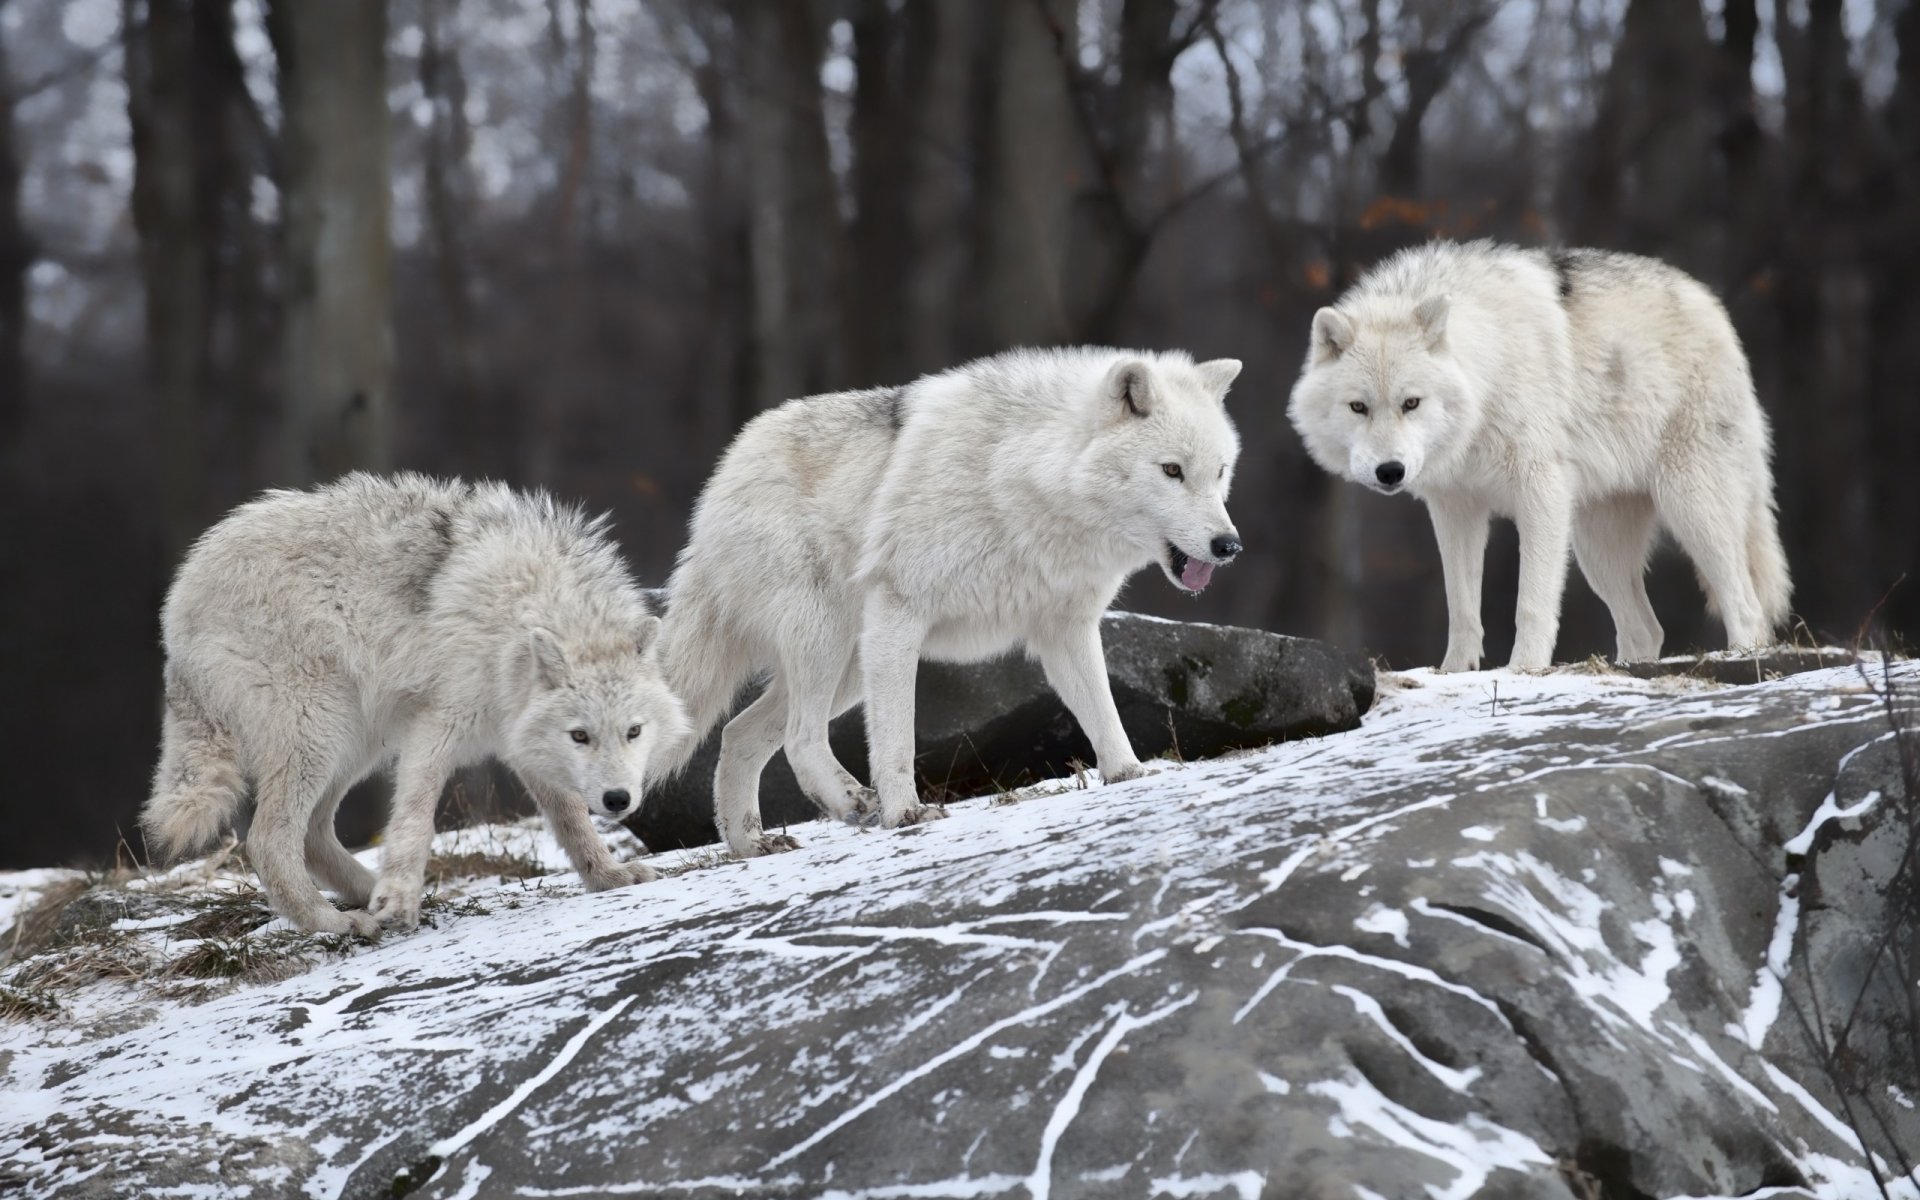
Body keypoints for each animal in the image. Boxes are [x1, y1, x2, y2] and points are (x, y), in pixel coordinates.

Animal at [143, 473, 689, 936]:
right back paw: (337, 922)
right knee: (269, 841)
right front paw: (399, 897)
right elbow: (415, 819)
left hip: (356, 741)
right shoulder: (436, 726)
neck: (517, 612)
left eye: (634, 732)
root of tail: (178, 600)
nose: (618, 800)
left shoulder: (520, 739)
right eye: (581, 736)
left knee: (314, 836)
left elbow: (572, 820)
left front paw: (609, 876)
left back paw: (375, 896)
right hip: (322, 731)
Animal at [656, 347, 1244, 857]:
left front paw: (1129, 776)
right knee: (800, 737)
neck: (1022, 479)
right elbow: (897, 737)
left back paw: (750, 844)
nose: (1229, 545)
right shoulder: (900, 612)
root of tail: (725, 472)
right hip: (830, 642)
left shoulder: (1065, 629)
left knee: (738, 733)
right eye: (1172, 470)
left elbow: (1103, 713)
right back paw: (851, 803)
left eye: (1219, 472)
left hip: (849, 666)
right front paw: (906, 814)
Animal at [1288, 240, 1789, 671]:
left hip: (1690, 508)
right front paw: (1454, 672)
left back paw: (1742, 656)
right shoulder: (1455, 509)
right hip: (1597, 549)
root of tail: (1710, 303)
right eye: (1358, 407)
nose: (1390, 471)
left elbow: (1530, 603)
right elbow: (1462, 608)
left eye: (1411, 403)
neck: (1487, 375)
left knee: (1746, 605)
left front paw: (1524, 669)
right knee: (1647, 629)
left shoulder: (1540, 493)